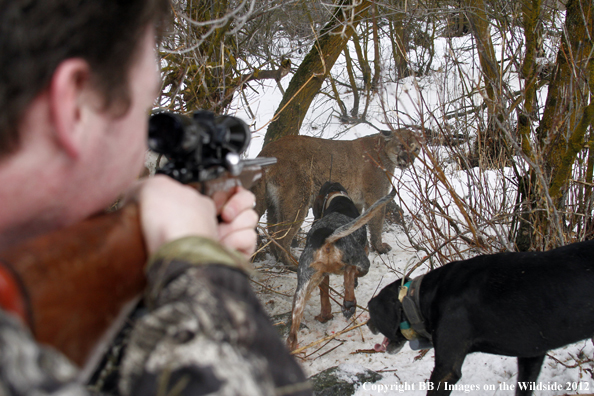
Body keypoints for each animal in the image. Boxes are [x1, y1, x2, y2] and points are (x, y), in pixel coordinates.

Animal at [286, 181, 394, 352]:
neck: (337, 198)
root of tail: (326, 237)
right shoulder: (364, 253)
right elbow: (352, 277)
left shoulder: (322, 277)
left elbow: (324, 298)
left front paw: (325, 316)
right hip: (361, 259)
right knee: (350, 276)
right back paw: (349, 304)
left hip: (301, 291)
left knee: (292, 335)